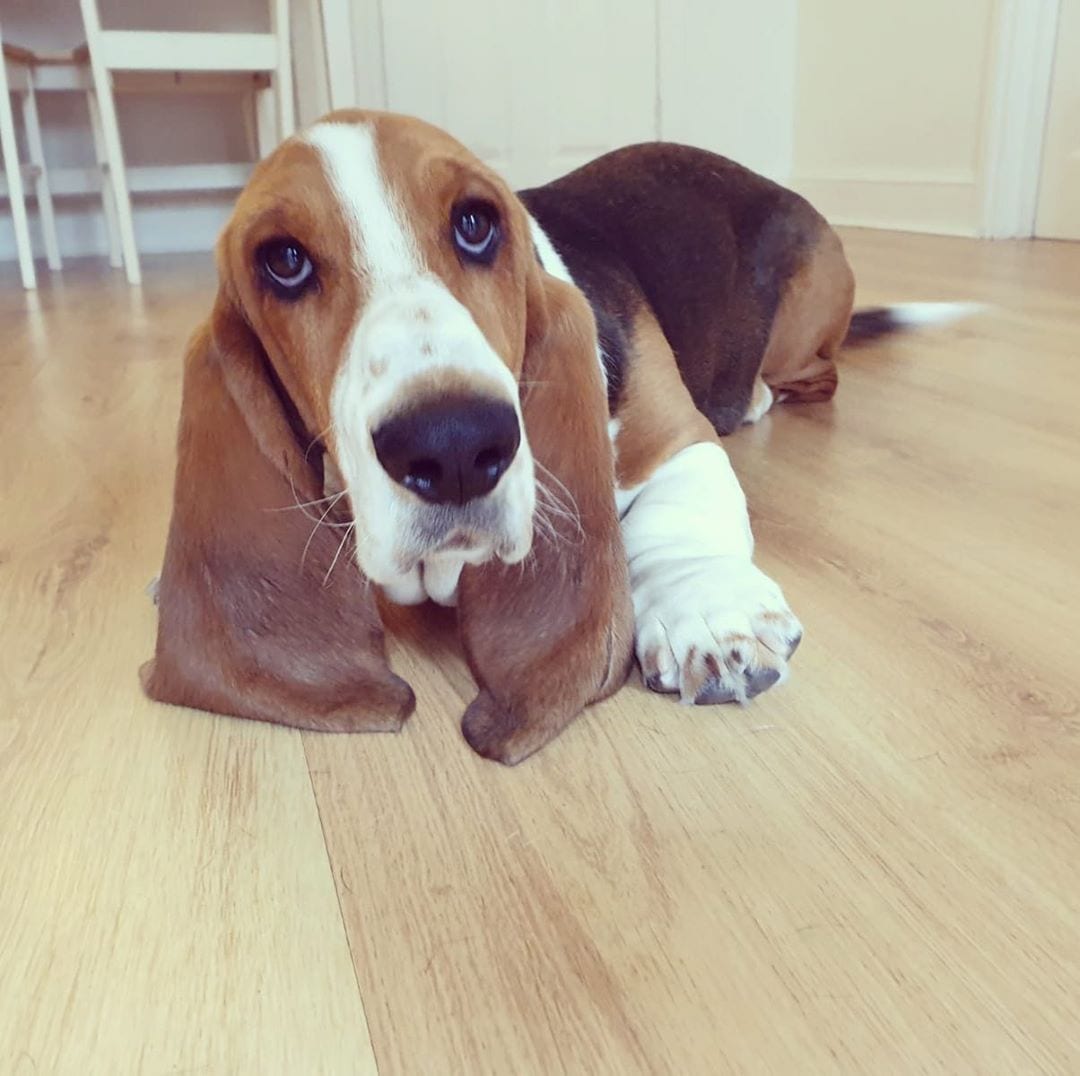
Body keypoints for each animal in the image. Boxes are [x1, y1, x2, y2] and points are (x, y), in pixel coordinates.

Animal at [141, 109, 963, 764]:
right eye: (283, 261)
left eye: (476, 224)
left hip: (805, 320)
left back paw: (757, 397)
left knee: (813, 377)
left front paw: (705, 611)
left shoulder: (678, 438)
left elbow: (678, 519)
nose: (453, 445)